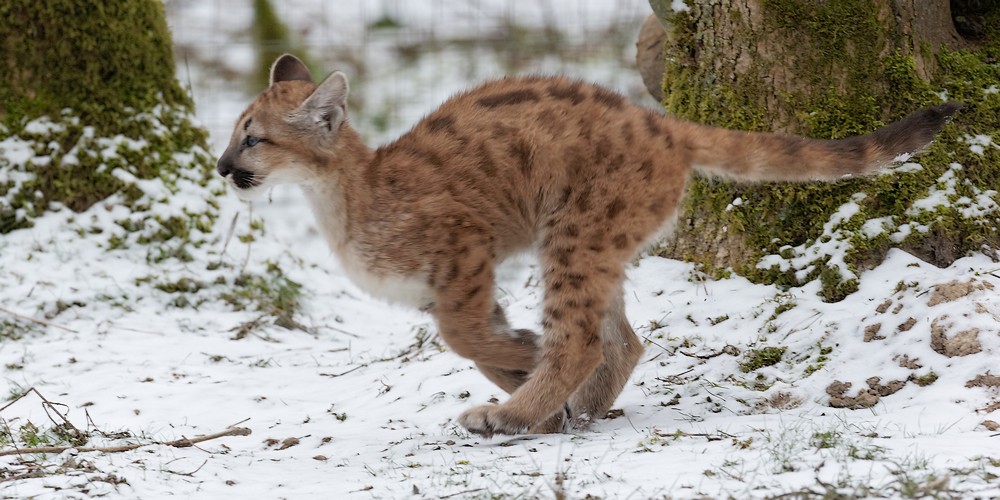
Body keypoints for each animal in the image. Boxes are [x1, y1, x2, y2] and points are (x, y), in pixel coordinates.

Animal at [217, 54, 959, 437]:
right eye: (233, 134)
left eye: (254, 138)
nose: (222, 167)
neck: (340, 194)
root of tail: (661, 123)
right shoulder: (452, 278)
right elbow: (473, 340)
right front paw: (526, 381)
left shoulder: (465, 246)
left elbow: (464, 335)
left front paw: (520, 374)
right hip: (595, 238)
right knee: (622, 340)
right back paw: (575, 409)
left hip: (569, 233)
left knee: (581, 339)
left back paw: (514, 413)